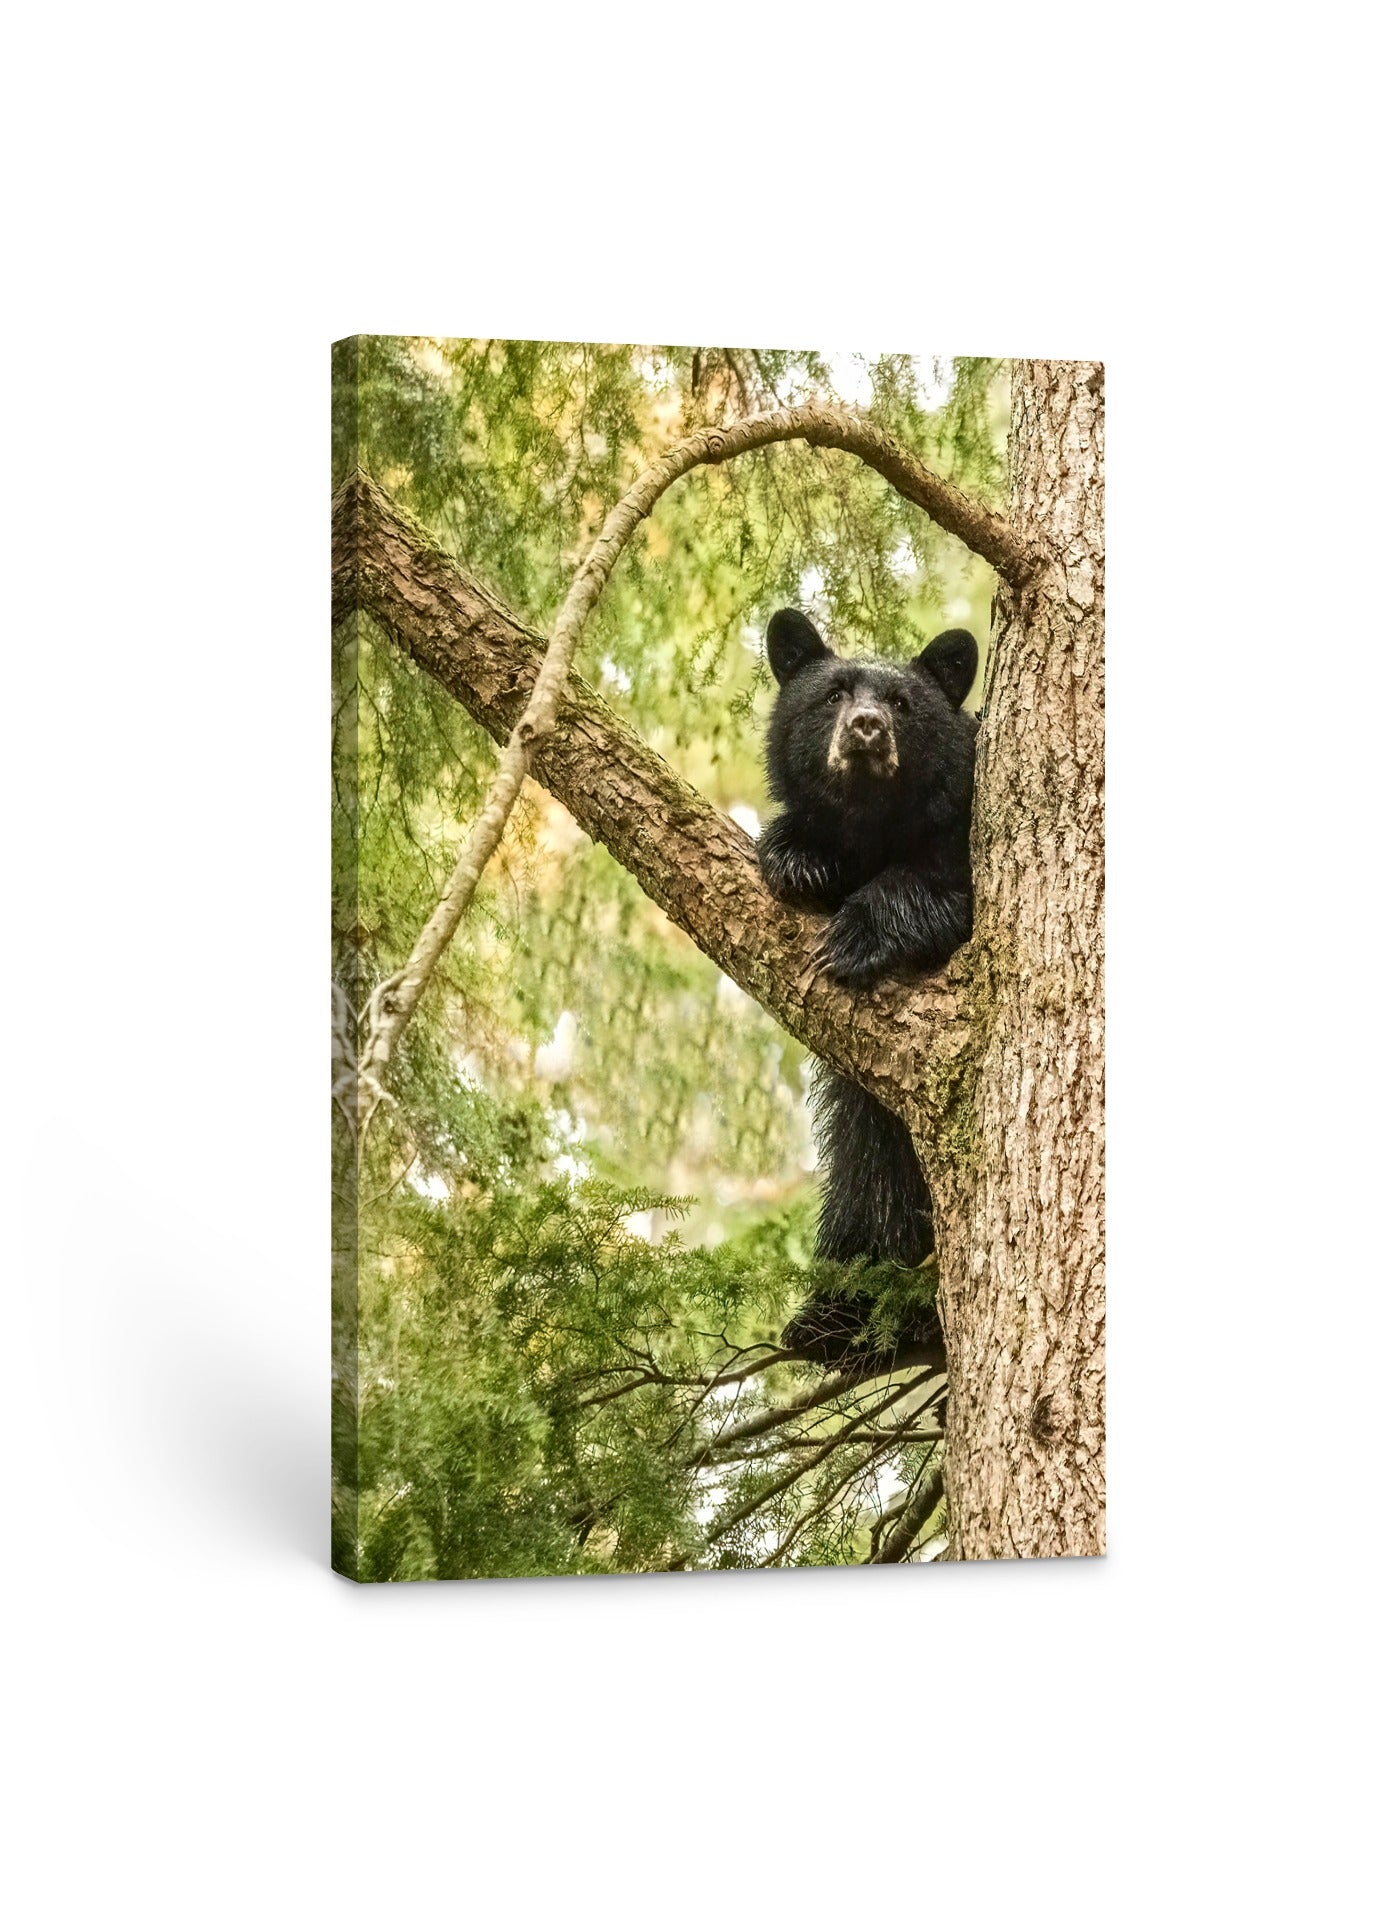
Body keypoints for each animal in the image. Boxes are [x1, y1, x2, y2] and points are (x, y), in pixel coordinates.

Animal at [756, 606, 980, 1376]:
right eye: (832, 694)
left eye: (904, 704)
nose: (865, 728)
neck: (874, 828)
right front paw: (795, 856)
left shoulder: (963, 833)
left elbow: (939, 889)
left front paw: (857, 932)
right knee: (869, 1166)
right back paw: (838, 1317)